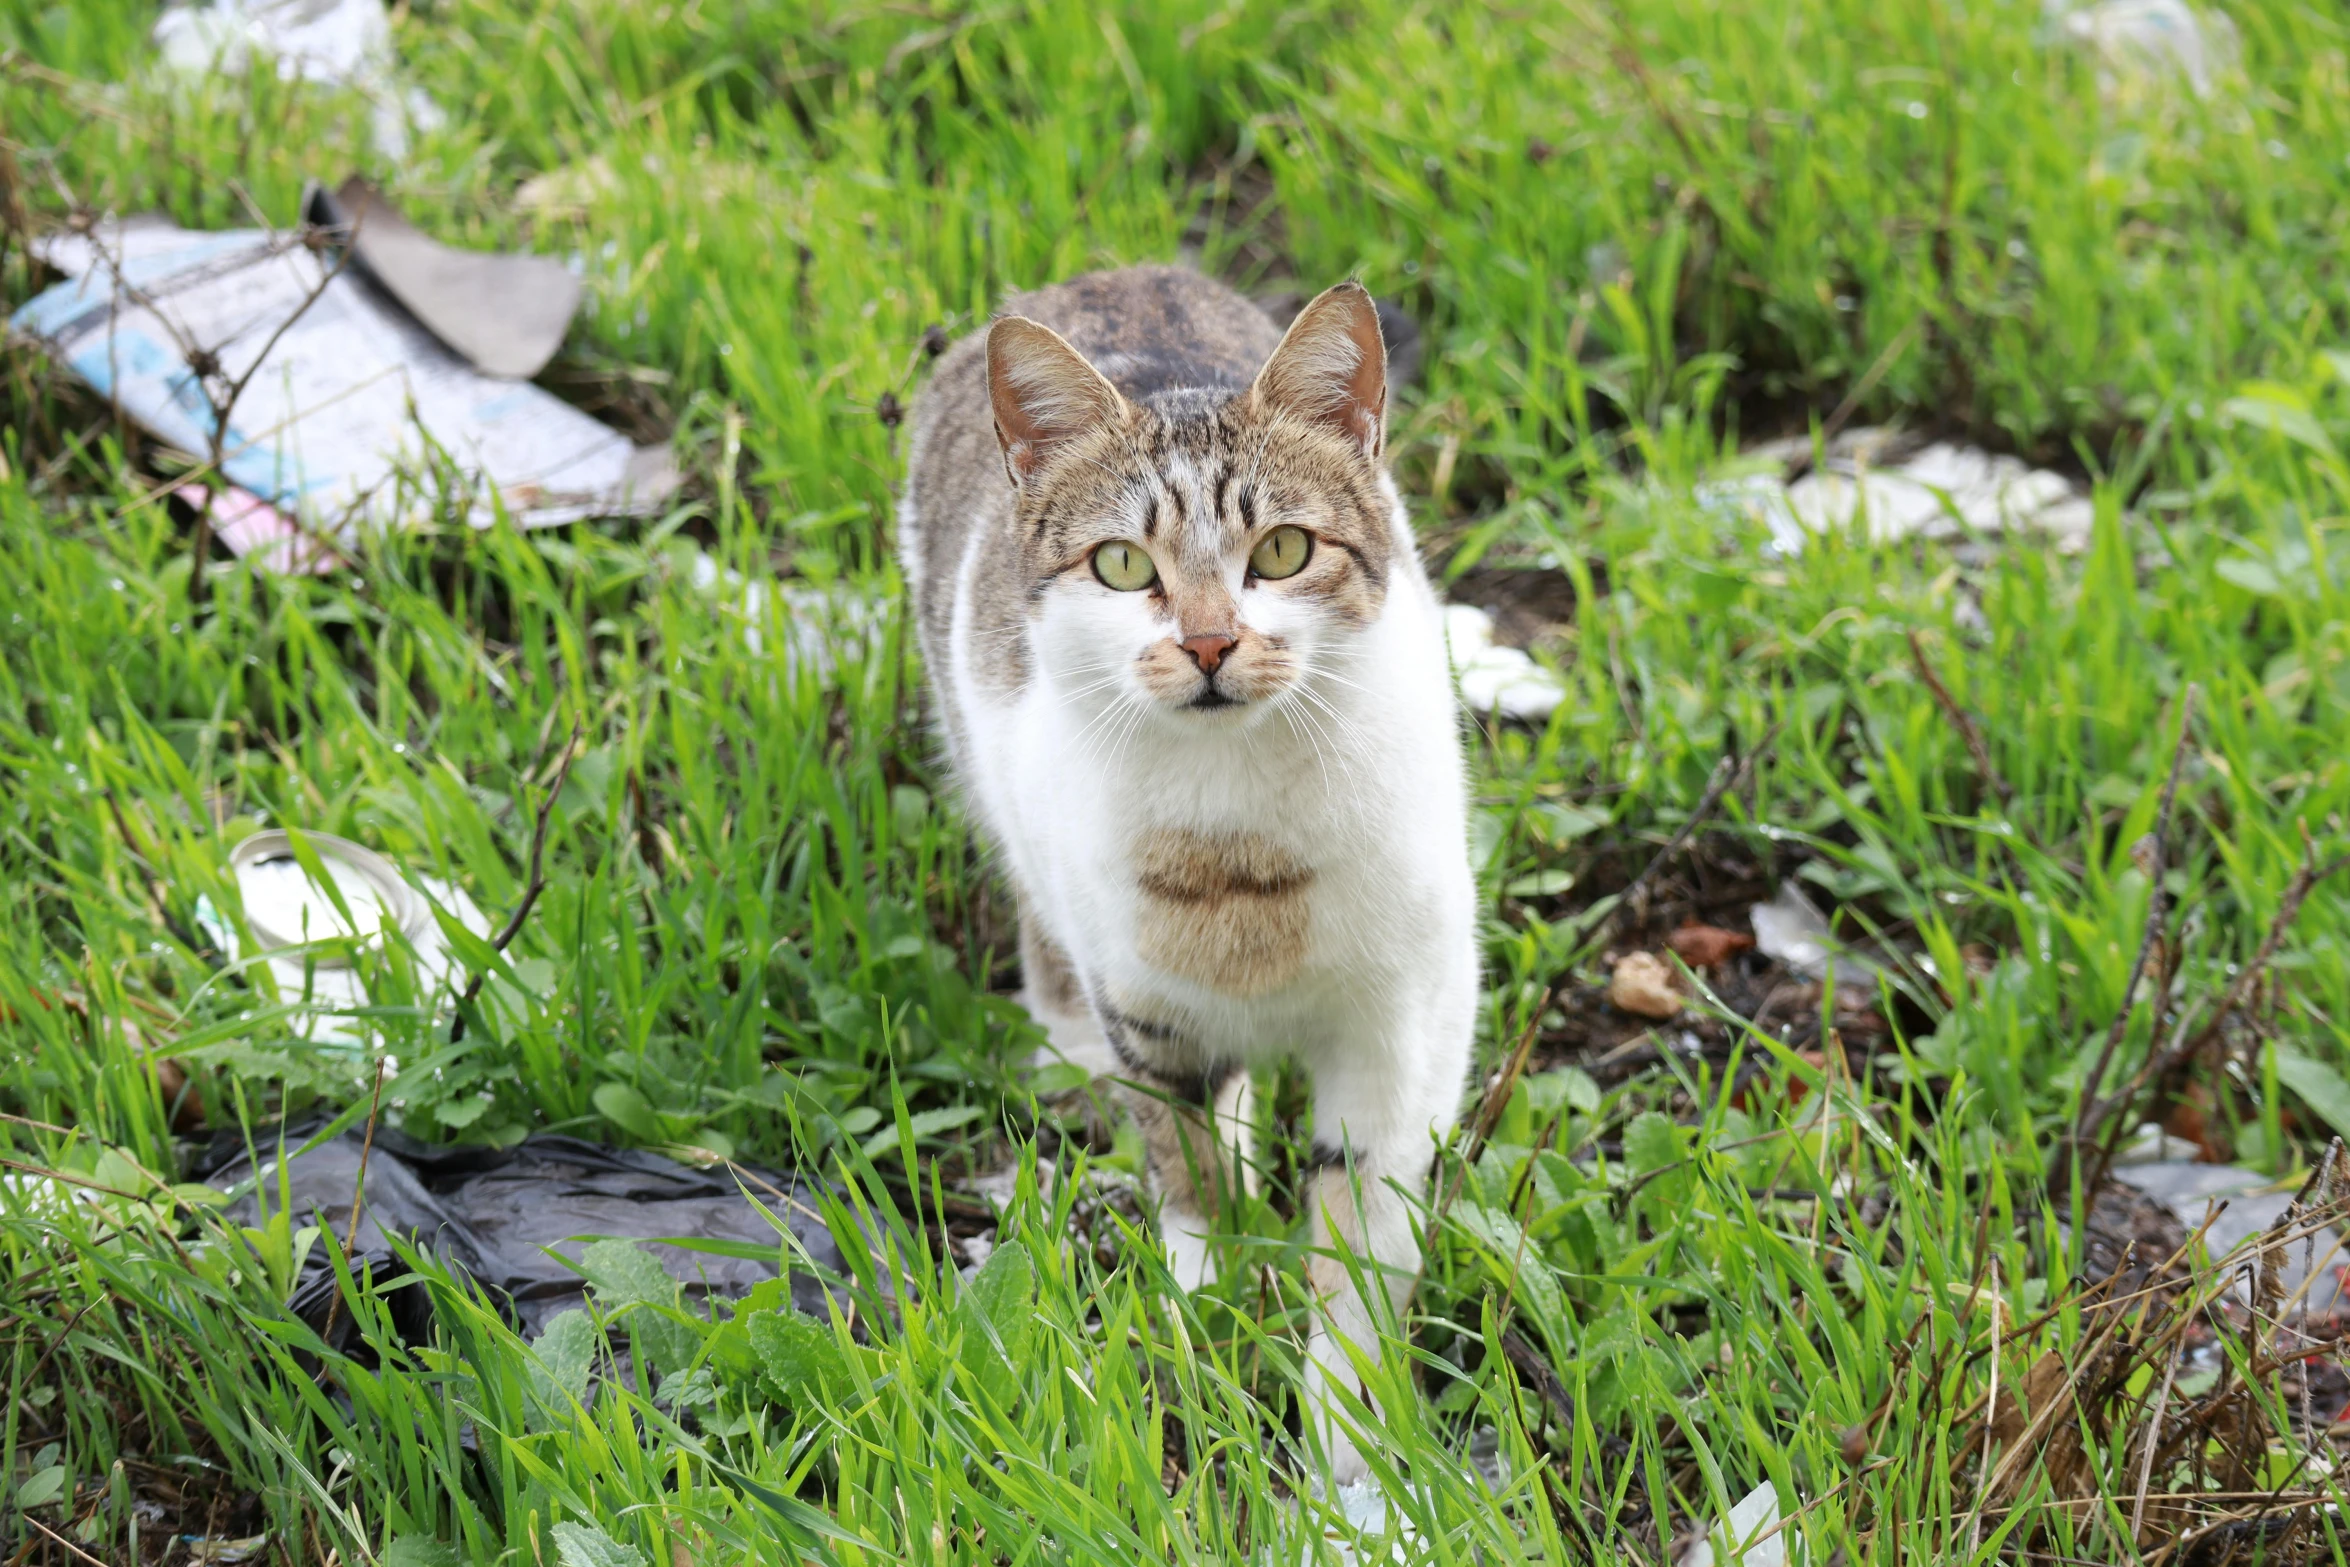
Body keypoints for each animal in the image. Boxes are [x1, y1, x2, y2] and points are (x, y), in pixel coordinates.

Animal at [897, 270, 1466, 1484]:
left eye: (1284, 550)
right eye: (1122, 564)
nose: (1208, 643)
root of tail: (1101, 274)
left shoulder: (1404, 1026)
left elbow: (1362, 1229)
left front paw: (1346, 1441)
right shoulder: (1148, 1012)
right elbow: (1190, 1179)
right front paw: (1204, 1323)